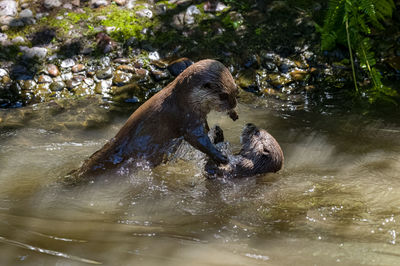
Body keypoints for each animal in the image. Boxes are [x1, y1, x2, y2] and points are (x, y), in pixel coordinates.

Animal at [70, 59, 239, 181]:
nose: (233, 104)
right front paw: (220, 156)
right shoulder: (186, 118)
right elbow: (197, 139)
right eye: (223, 95)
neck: (183, 100)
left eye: (236, 90)